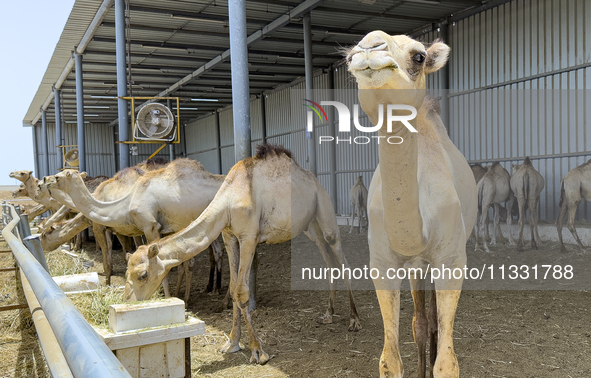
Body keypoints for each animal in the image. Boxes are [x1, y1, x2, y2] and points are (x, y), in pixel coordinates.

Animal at [125, 143, 360, 364]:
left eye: (143, 275)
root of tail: (315, 181)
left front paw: (257, 351)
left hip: (324, 209)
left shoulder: (248, 237)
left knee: (342, 258)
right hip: (310, 227)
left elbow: (241, 292)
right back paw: (328, 315)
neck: (228, 200)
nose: (132, 300)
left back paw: (354, 320)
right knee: (329, 261)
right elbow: (232, 286)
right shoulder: (229, 236)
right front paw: (231, 343)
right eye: (128, 274)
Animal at [346, 32, 476, 378]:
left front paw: (435, 366)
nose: (369, 47)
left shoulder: (452, 259)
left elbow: (448, 362)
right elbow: (389, 359)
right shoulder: (382, 263)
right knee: (422, 321)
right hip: (418, 265)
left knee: (433, 323)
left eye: (419, 56)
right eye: (349, 57)